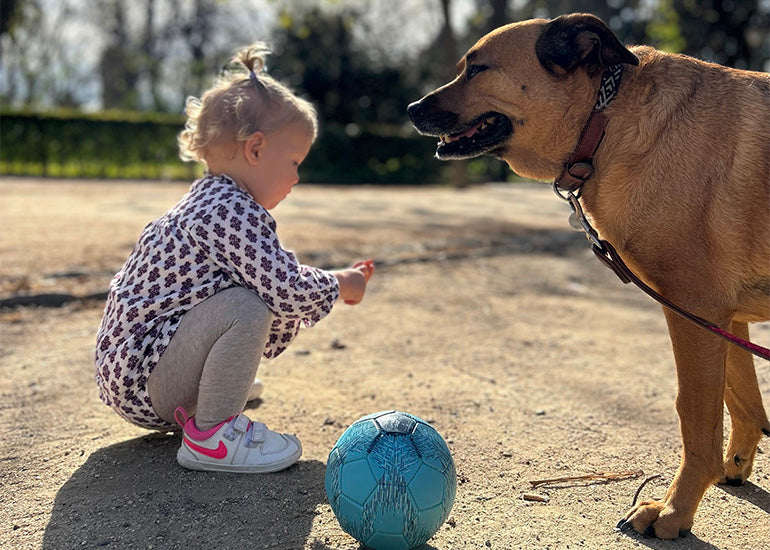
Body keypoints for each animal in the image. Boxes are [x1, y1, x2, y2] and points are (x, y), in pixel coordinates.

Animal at [408, 11, 768, 540]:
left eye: (477, 69)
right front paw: (734, 467)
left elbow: (696, 414)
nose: (411, 108)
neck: (607, 118)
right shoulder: (724, 318)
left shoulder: (696, 311)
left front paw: (676, 510)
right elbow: (743, 401)